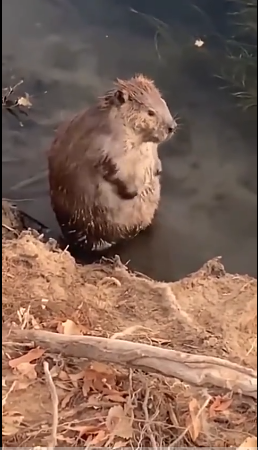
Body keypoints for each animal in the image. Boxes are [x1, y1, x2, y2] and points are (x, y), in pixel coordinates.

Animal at [47, 72, 176, 251]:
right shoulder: (101, 145)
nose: (172, 127)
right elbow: (110, 168)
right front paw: (132, 192)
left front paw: (157, 171)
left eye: (163, 102)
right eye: (150, 112)